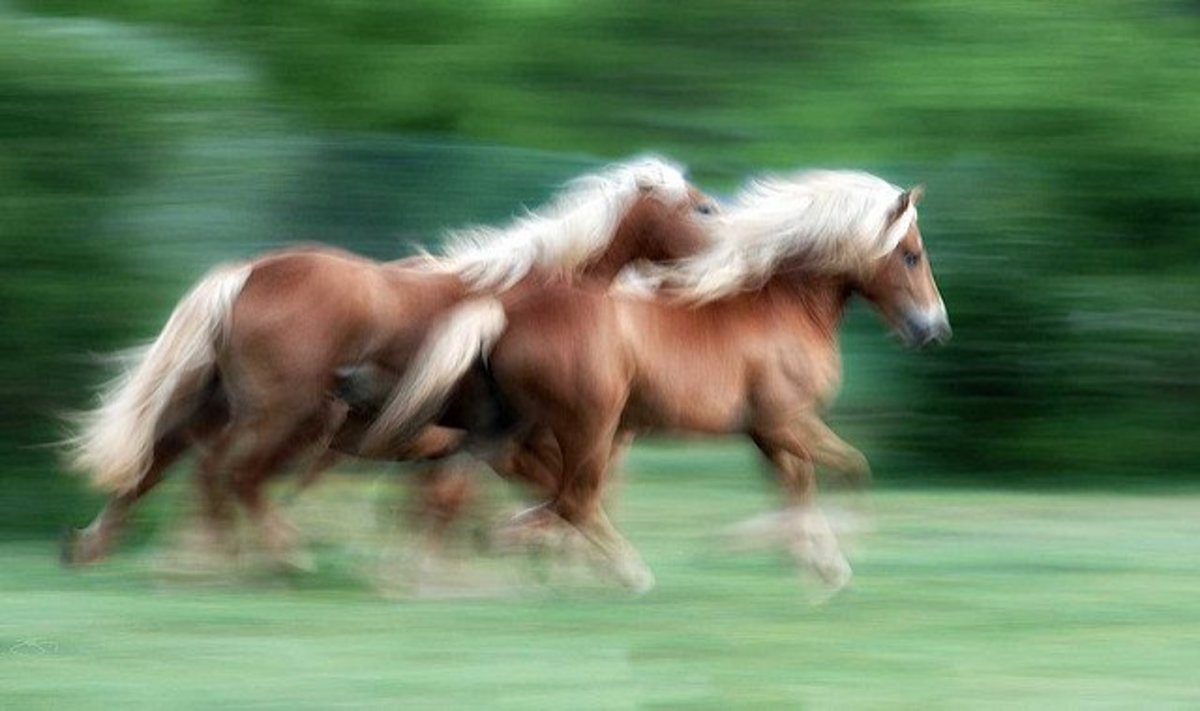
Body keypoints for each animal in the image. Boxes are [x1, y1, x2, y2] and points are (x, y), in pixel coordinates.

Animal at [64, 156, 719, 567]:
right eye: (702, 210)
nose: (725, 258)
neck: (535, 297)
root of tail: (250, 272)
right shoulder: (514, 444)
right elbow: (546, 496)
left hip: (220, 406)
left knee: (164, 465)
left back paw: (114, 551)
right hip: (280, 415)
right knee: (227, 475)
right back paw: (264, 558)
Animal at [353, 169, 950, 593]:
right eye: (911, 255)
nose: (935, 329)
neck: (780, 308)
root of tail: (502, 313)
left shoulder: (767, 432)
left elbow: (798, 488)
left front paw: (816, 565)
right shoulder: (786, 420)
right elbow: (850, 468)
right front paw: (840, 553)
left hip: (507, 425)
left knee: (475, 488)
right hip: (589, 424)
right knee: (569, 499)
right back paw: (617, 570)